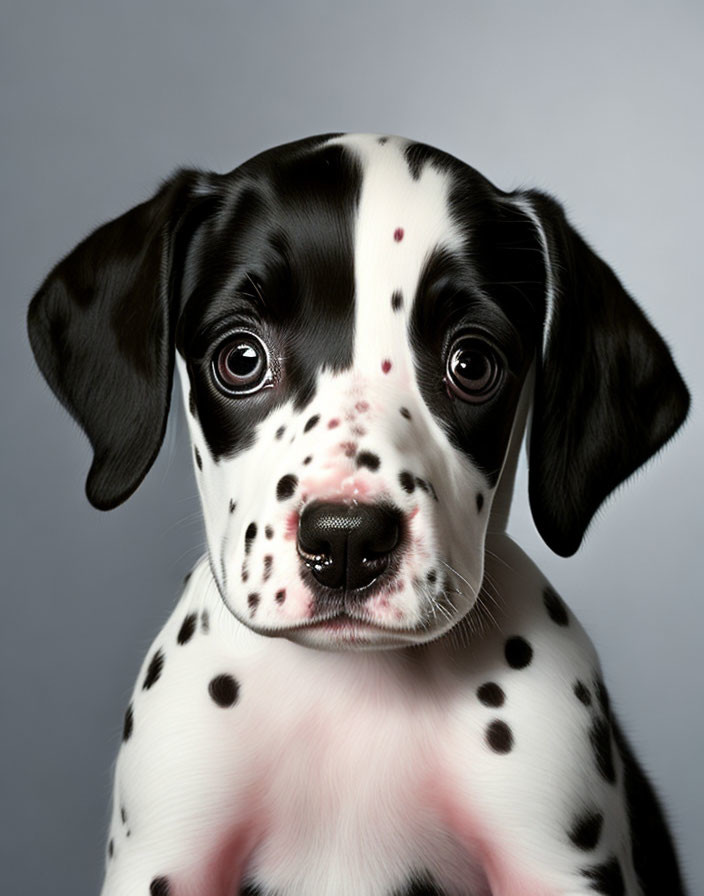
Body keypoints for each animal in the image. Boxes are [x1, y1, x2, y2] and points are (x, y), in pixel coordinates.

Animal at [27, 133, 688, 896]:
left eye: (472, 363)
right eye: (241, 357)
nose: (346, 542)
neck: (351, 694)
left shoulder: (560, 862)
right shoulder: (165, 857)